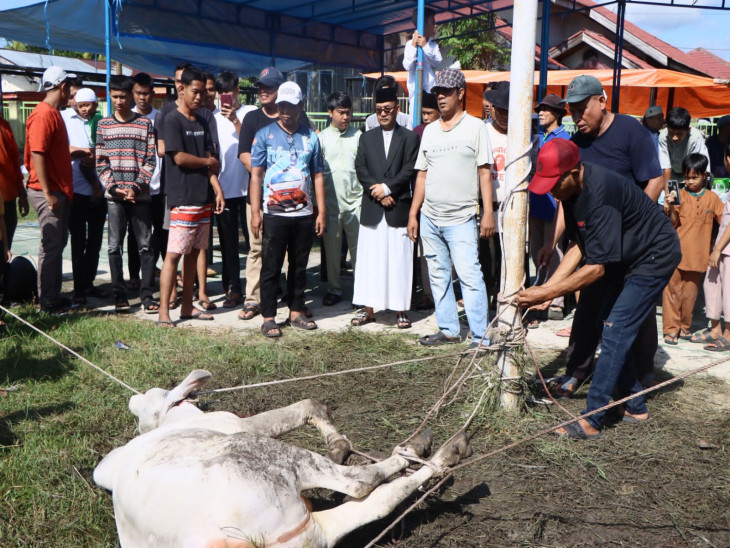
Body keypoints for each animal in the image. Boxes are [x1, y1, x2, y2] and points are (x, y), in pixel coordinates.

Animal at [94, 370, 472, 544]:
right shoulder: (239, 424)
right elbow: (306, 406)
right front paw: (338, 443)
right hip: (274, 457)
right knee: (359, 483)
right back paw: (432, 450)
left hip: (315, 531)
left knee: (375, 502)